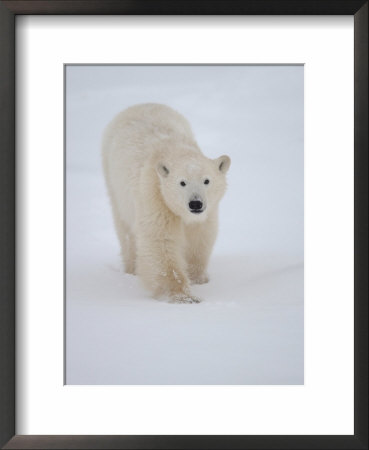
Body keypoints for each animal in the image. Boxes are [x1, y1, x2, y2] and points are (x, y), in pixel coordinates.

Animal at [102, 103, 229, 304]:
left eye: (206, 180)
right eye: (182, 182)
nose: (195, 204)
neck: (174, 150)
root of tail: (139, 104)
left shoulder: (207, 213)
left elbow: (199, 237)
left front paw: (198, 279)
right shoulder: (155, 195)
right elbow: (160, 242)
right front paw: (184, 296)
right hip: (113, 179)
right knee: (126, 230)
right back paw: (131, 268)